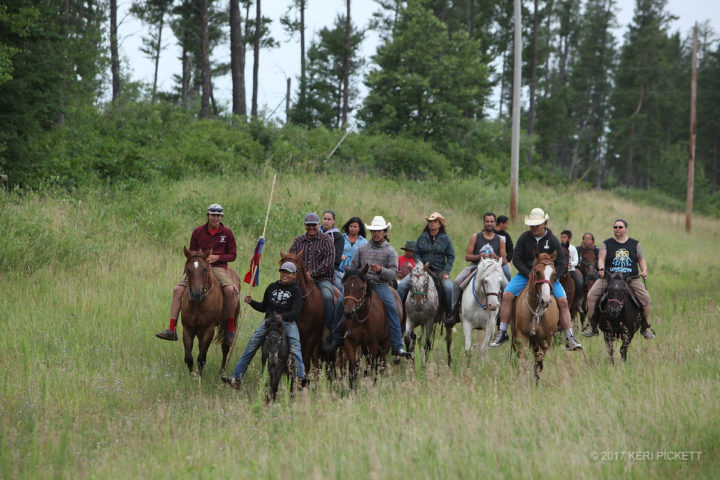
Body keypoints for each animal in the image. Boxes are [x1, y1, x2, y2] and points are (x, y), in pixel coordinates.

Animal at [180, 248, 239, 378]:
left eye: (205, 269)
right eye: (188, 269)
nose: (196, 294)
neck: (198, 304)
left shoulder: (209, 329)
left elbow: (201, 357)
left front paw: (199, 377)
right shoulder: (187, 328)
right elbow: (189, 356)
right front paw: (191, 374)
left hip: (227, 324)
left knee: (225, 347)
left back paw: (222, 371)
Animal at [512, 251, 564, 382]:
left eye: (554, 274)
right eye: (537, 272)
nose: (545, 300)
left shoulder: (545, 340)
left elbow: (539, 365)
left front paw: (536, 381)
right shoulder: (522, 336)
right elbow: (522, 360)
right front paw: (521, 380)